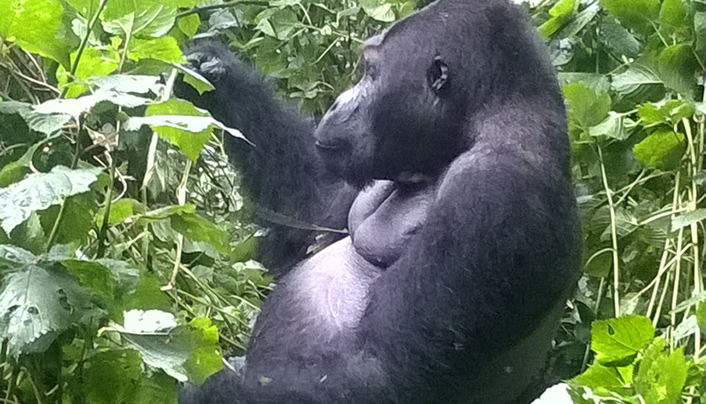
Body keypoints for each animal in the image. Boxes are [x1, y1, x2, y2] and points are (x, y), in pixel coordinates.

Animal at [177, 0, 576, 402]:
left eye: (370, 73)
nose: (337, 104)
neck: (481, 125)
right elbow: (312, 208)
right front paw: (215, 73)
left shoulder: (492, 189)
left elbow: (383, 374)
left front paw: (201, 388)